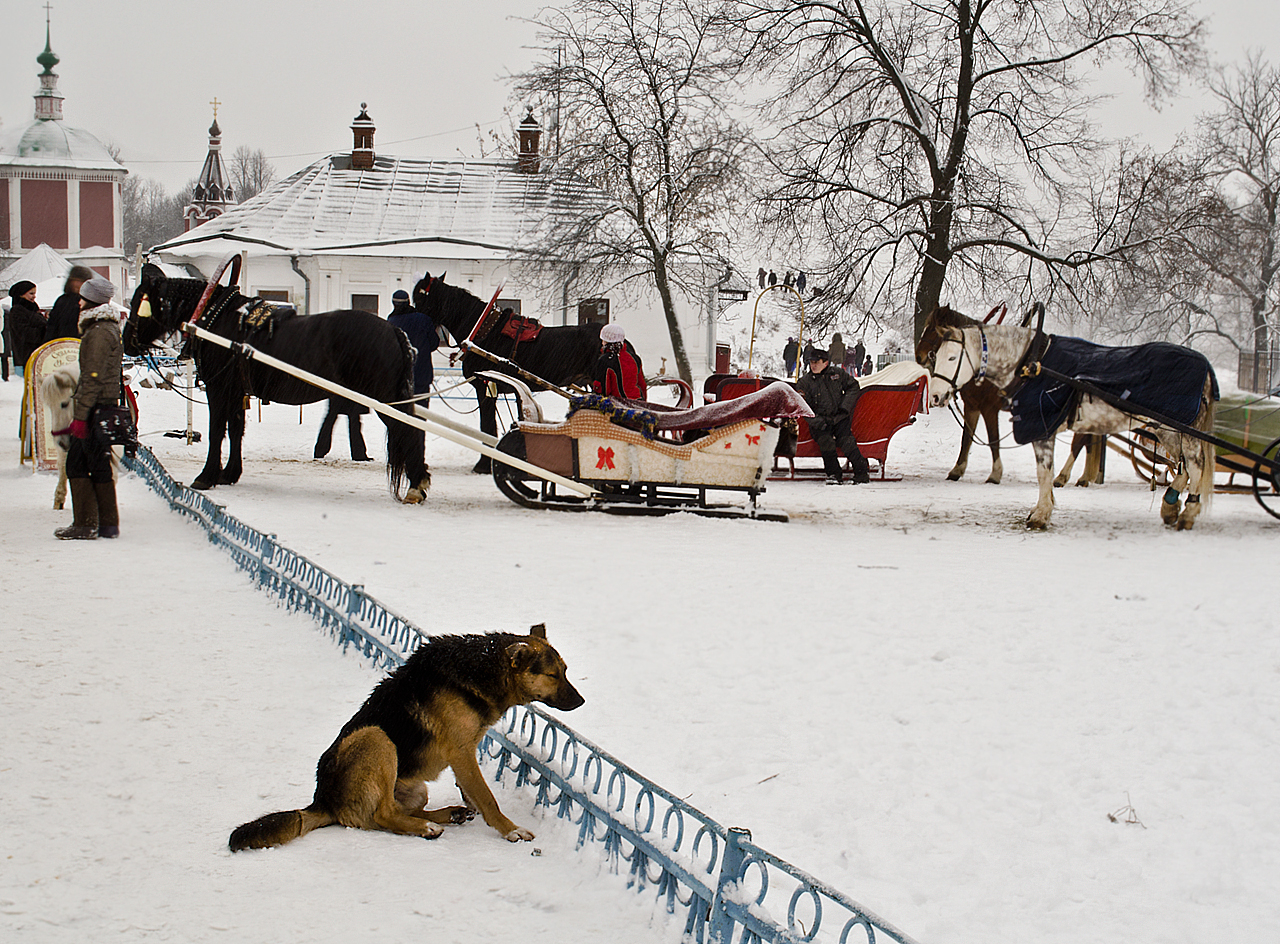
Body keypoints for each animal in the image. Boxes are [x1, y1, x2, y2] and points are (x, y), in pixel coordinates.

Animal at [127, 260, 432, 501]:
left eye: (138, 302)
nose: (128, 342)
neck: (219, 318)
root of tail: (393, 329)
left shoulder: (219, 389)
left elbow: (217, 432)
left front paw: (207, 475)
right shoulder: (238, 391)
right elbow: (236, 430)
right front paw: (229, 473)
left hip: (384, 399)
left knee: (407, 431)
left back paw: (416, 484)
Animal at [230, 621, 586, 849]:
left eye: (566, 671)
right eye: (553, 675)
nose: (581, 701)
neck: (482, 667)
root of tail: (324, 801)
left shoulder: (466, 753)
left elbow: (472, 793)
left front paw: (477, 813)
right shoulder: (461, 753)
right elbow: (487, 796)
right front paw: (510, 831)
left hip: (416, 789)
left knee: (402, 809)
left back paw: (447, 815)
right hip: (374, 738)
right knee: (383, 813)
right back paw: (427, 828)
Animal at [926, 323, 1213, 529]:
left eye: (952, 357)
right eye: (936, 356)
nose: (936, 396)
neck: (1032, 364)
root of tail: (1206, 367)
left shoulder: (1041, 427)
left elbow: (1043, 472)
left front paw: (1041, 515)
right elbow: (1045, 471)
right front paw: (1044, 506)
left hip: (1178, 429)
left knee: (1195, 464)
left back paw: (1188, 513)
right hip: (1167, 430)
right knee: (1185, 466)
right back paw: (1171, 506)